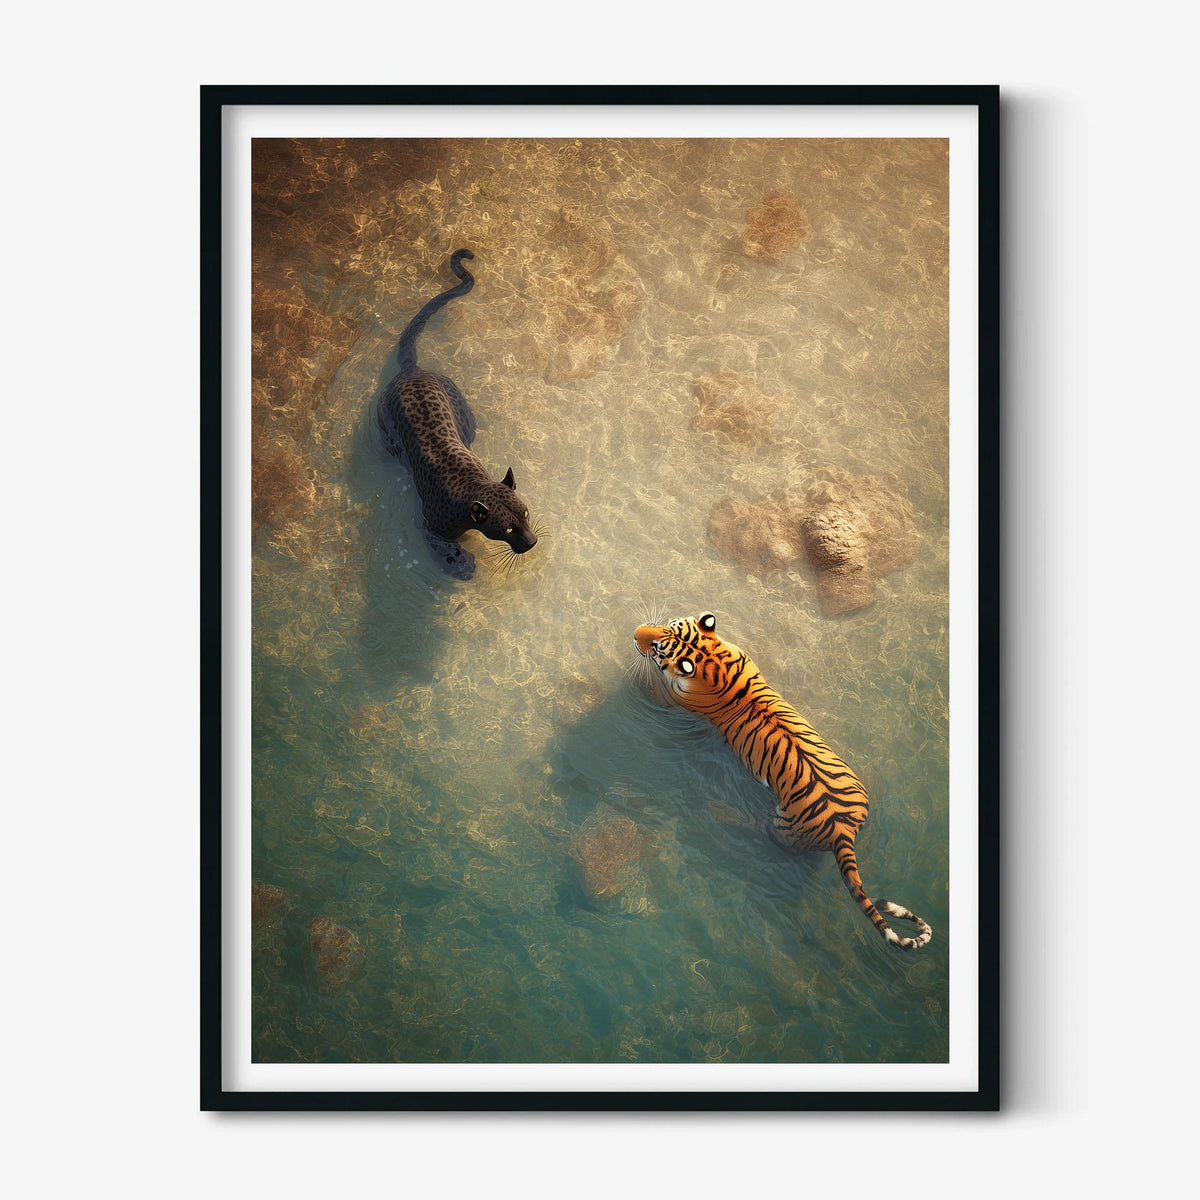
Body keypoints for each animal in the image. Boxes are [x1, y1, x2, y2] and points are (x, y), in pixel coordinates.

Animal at [633, 611, 932, 950]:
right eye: (666, 626)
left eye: (657, 647)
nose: (635, 633)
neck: (714, 659)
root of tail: (843, 829)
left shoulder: (674, 699)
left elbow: (652, 690)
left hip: (783, 828)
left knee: (763, 832)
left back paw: (719, 810)